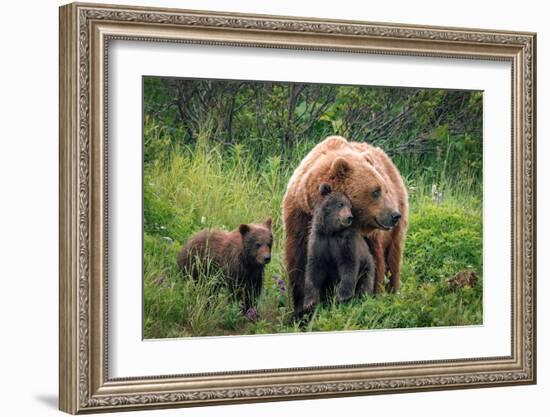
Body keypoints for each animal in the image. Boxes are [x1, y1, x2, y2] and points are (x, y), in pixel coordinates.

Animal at [304, 183, 378, 312]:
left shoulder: (346, 242)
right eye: (340, 204)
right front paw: (310, 301)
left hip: (367, 265)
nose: (349, 217)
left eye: (350, 207)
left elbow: (348, 264)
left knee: (365, 282)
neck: (332, 232)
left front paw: (343, 295)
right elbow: (315, 268)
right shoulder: (319, 241)